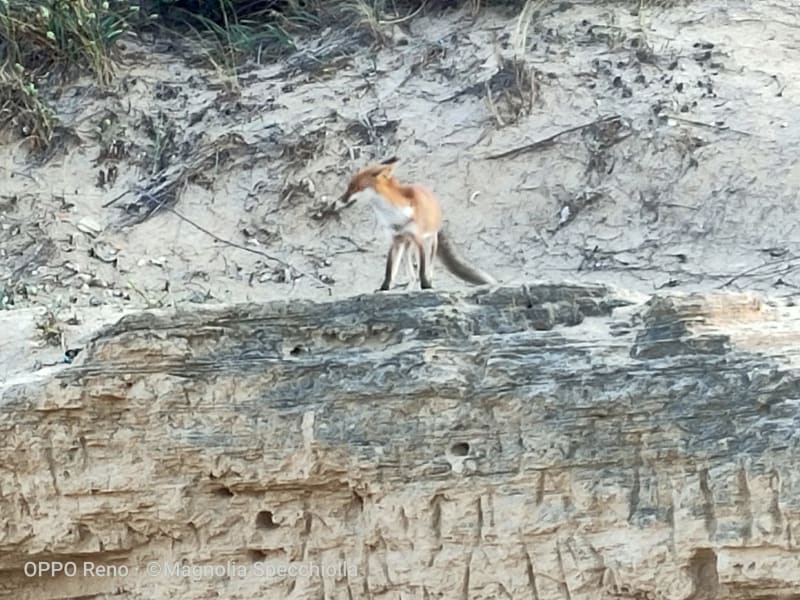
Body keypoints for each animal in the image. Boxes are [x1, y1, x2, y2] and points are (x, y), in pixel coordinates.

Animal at [340, 157, 497, 291]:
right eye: (348, 186)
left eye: (355, 187)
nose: (338, 201)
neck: (395, 215)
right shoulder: (395, 241)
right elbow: (389, 271)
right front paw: (383, 289)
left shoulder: (419, 239)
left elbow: (422, 271)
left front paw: (426, 286)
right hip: (407, 247)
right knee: (412, 275)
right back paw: (408, 289)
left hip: (430, 243)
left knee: (428, 269)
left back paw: (428, 284)